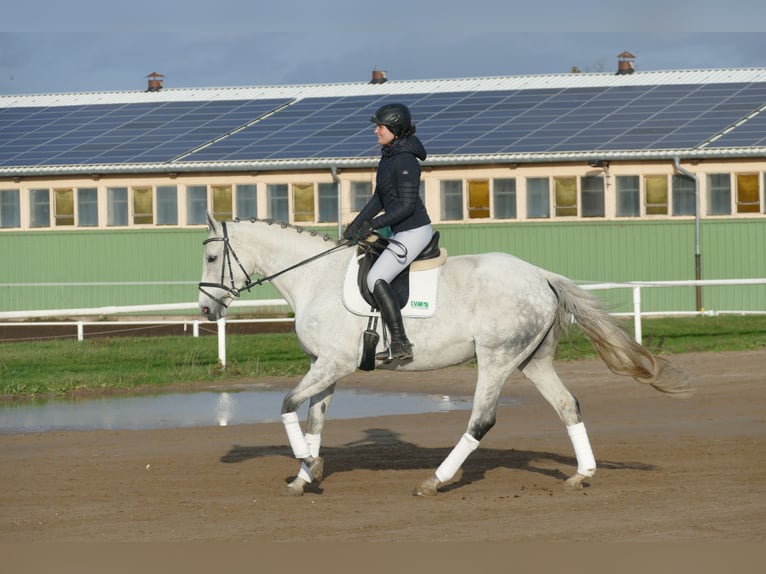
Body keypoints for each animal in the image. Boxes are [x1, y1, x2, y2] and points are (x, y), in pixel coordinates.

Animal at [200, 214, 696, 498]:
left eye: (208, 258)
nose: (206, 311)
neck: (314, 277)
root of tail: (541, 275)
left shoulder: (332, 364)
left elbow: (286, 405)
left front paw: (307, 464)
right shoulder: (325, 367)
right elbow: (314, 419)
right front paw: (306, 474)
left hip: (497, 359)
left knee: (481, 420)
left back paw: (436, 479)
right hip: (533, 361)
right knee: (567, 405)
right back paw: (583, 474)